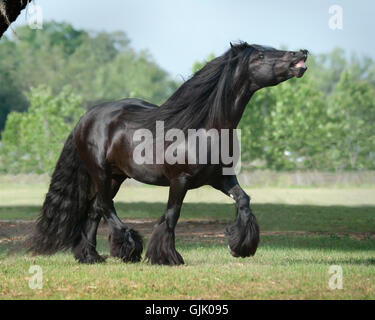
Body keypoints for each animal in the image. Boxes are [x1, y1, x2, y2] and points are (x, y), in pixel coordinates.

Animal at [28, 42, 308, 264]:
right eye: (259, 55)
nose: (300, 54)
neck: (204, 128)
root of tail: (85, 118)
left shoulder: (221, 179)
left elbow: (244, 200)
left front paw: (238, 246)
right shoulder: (180, 180)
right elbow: (172, 215)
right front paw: (165, 257)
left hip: (117, 176)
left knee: (95, 209)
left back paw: (91, 256)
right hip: (101, 173)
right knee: (106, 207)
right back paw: (129, 248)